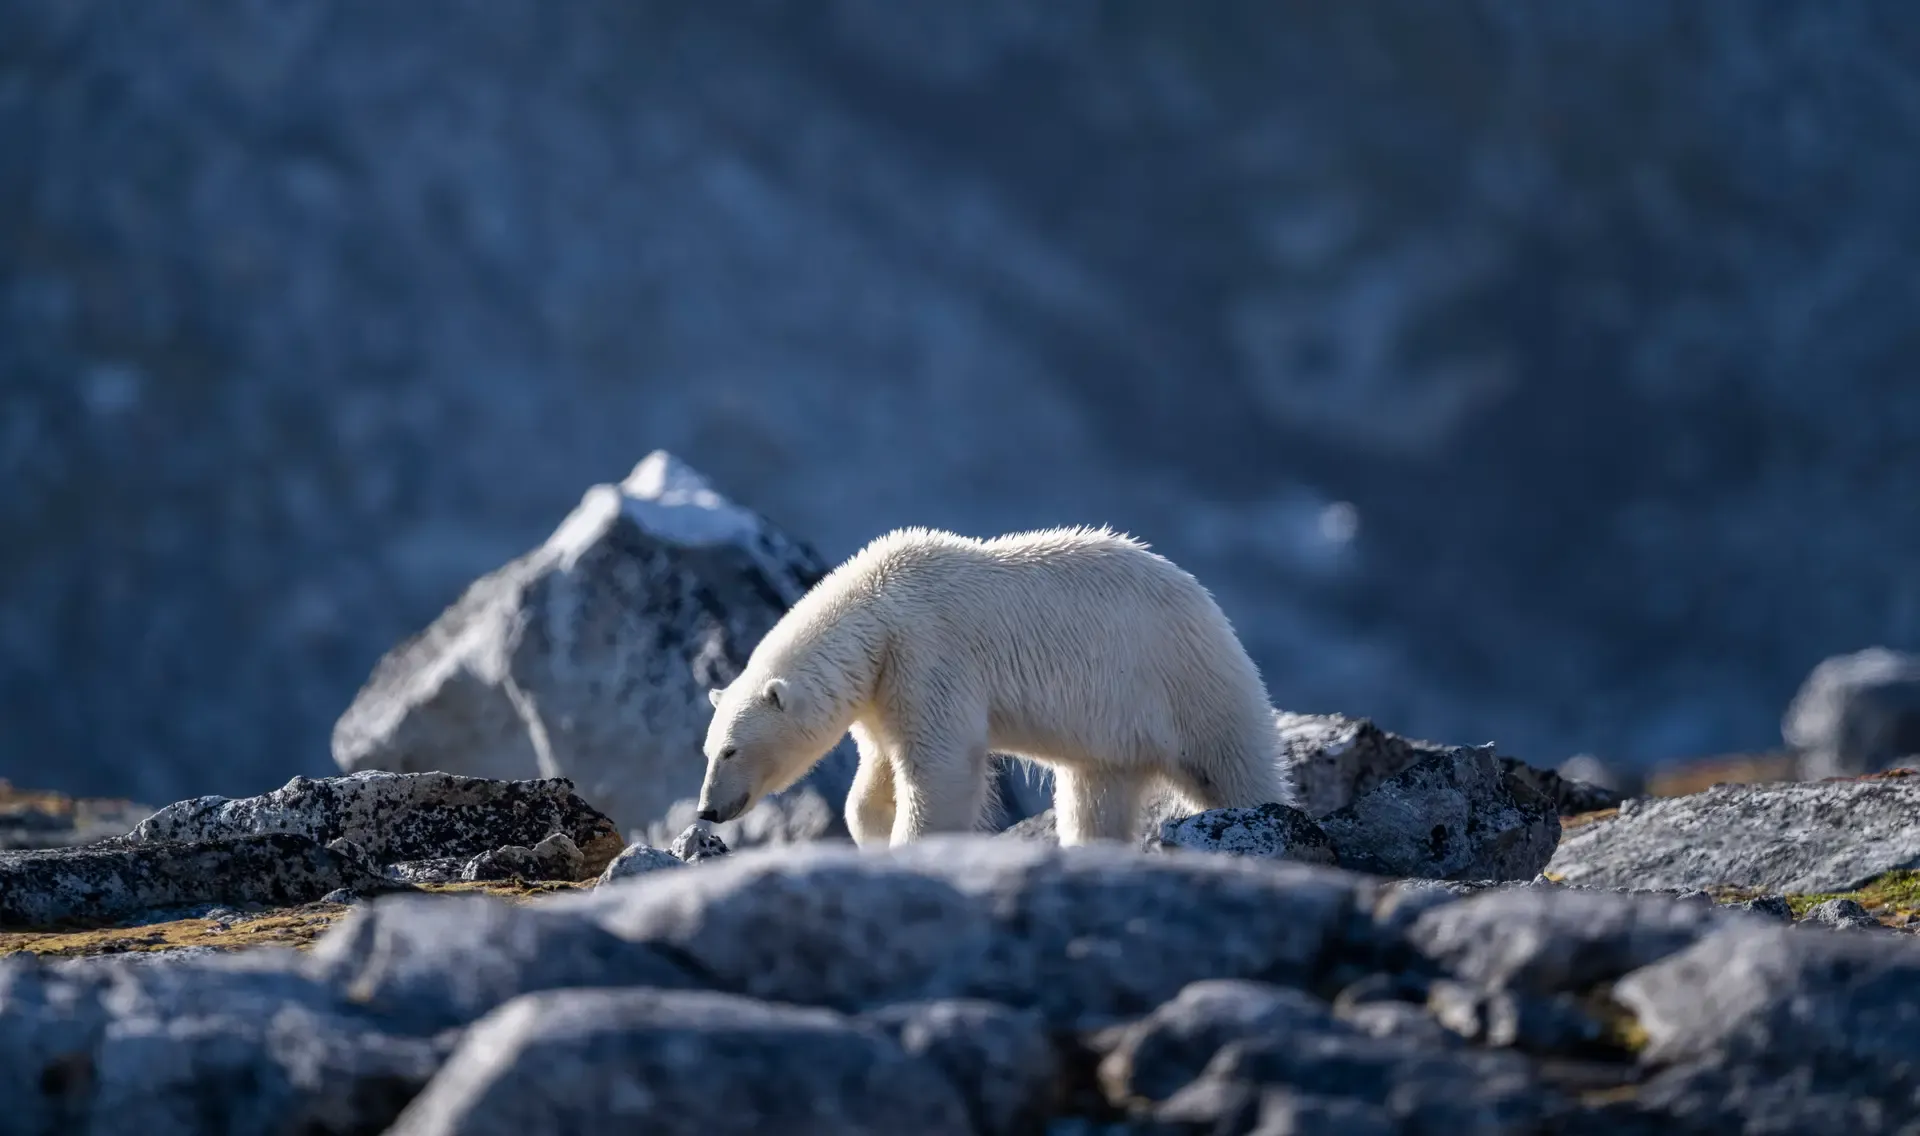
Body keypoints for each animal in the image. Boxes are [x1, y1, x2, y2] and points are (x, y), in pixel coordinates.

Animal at [695, 524, 1295, 847]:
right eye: (707, 749)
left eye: (730, 750)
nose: (706, 811)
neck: (877, 605)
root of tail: (1213, 612)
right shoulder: (883, 687)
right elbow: (878, 771)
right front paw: (874, 828)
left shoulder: (928, 654)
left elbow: (940, 766)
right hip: (1115, 739)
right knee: (1094, 797)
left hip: (1188, 684)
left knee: (1235, 767)